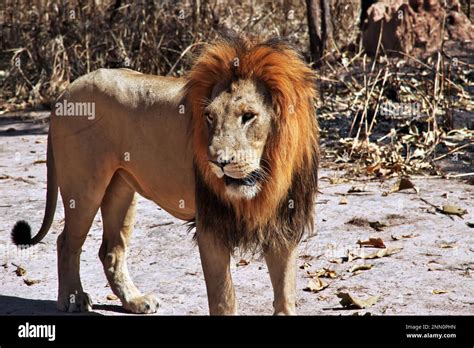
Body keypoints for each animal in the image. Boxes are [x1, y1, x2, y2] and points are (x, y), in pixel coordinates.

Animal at [11, 35, 320, 316]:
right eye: (209, 116)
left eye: (248, 116)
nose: (217, 163)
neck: (268, 174)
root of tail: (64, 93)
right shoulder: (210, 225)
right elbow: (223, 299)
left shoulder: (284, 225)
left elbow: (285, 297)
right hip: (84, 187)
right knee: (66, 242)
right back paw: (73, 298)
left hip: (122, 190)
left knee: (111, 249)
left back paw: (135, 301)